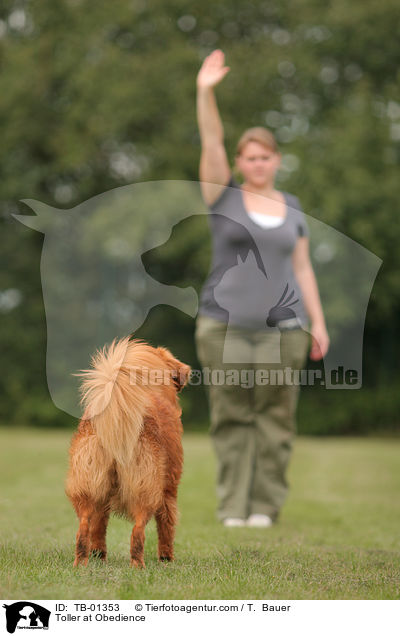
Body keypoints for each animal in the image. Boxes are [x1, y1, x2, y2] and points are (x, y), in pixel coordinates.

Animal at [65, 336, 191, 568]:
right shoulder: (169, 488)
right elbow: (167, 526)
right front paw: (167, 559)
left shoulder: (103, 498)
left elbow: (99, 528)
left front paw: (99, 555)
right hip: (147, 490)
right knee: (138, 532)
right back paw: (138, 566)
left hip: (88, 487)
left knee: (84, 528)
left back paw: (82, 563)